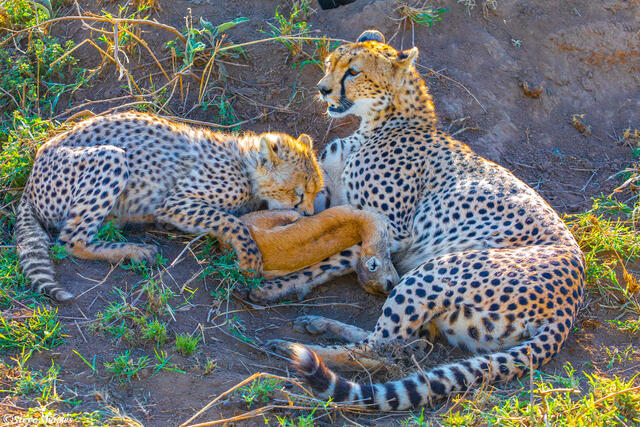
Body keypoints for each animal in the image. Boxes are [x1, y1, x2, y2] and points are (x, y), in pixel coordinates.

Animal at [14, 111, 323, 303]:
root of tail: (28, 183)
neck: (244, 165)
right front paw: (249, 258)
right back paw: (135, 251)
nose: (309, 214)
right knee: (71, 240)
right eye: (297, 194)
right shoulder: (175, 202)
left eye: (316, 191)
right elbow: (230, 220)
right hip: (111, 157)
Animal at [250, 30, 586, 410]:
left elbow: (341, 252)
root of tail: (570, 305)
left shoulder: (396, 232)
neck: (382, 122)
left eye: (353, 71)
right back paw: (319, 324)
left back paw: (297, 349)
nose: (323, 89)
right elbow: (314, 225)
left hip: (438, 268)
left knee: (382, 351)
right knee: (407, 344)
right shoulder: (331, 198)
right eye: (329, 64)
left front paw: (281, 283)